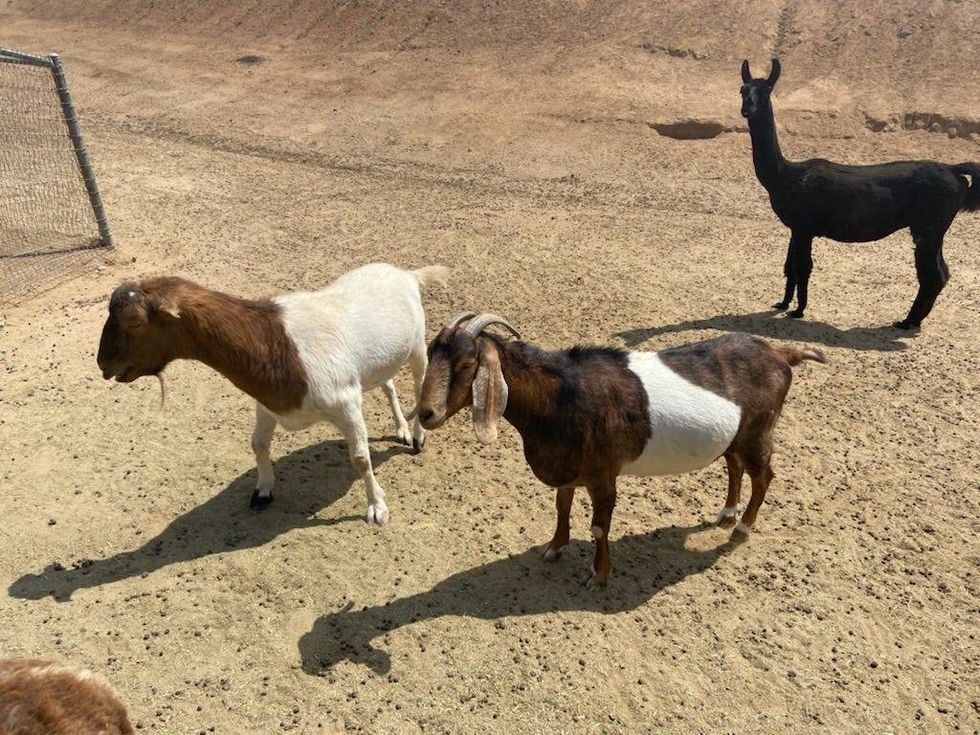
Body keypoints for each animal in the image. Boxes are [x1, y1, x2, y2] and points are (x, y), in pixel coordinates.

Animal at [97, 263, 449, 525]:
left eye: (134, 322)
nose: (103, 364)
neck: (275, 342)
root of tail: (406, 274)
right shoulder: (268, 404)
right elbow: (258, 444)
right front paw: (263, 491)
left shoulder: (345, 404)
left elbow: (361, 459)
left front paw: (377, 508)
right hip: (377, 364)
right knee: (387, 384)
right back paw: (401, 429)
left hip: (417, 348)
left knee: (419, 385)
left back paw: (416, 437)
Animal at [416, 313, 825, 587]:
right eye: (430, 354)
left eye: (467, 363)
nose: (425, 413)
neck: (561, 395)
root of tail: (780, 352)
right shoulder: (570, 468)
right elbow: (561, 506)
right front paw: (555, 547)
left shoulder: (603, 474)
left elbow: (599, 527)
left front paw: (598, 575)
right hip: (733, 436)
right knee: (734, 466)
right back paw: (726, 514)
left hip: (758, 432)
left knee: (764, 474)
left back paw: (741, 527)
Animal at [741, 58, 980, 329]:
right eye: (743, 90)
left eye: (766, 91)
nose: (747, 109)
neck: (786, 176)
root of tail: (953, 169)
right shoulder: (796, 227)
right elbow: (789, 266)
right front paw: (782, 304)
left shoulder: (804, 226)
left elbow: (803, 267)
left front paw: (798, 311)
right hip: (933, 228)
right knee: (941, 273)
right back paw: (914, 320)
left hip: (929, 225)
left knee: (932, 275)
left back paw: (906, 321)